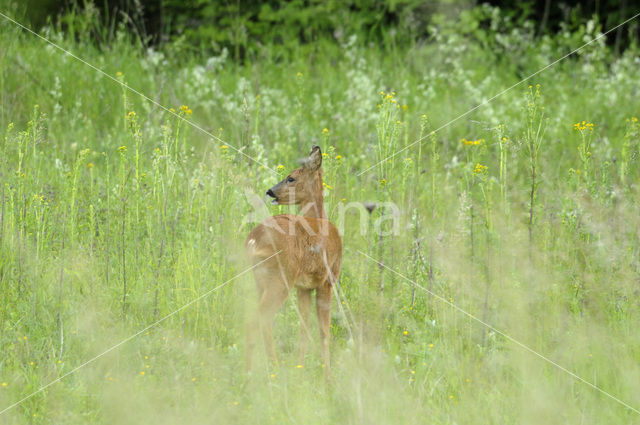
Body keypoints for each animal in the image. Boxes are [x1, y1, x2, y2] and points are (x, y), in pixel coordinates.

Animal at [245, 145, 342, 374]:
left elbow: (304, 329)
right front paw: (328, 377)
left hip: (260, 280)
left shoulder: (304, 287)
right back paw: (259, 371)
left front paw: (301, 368)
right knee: (257, 320)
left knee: (263, 322)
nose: (270, 191)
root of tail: (254, 239)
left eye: (291, 178)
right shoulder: (328, 281)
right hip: (280, 279)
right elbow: (324, 332)